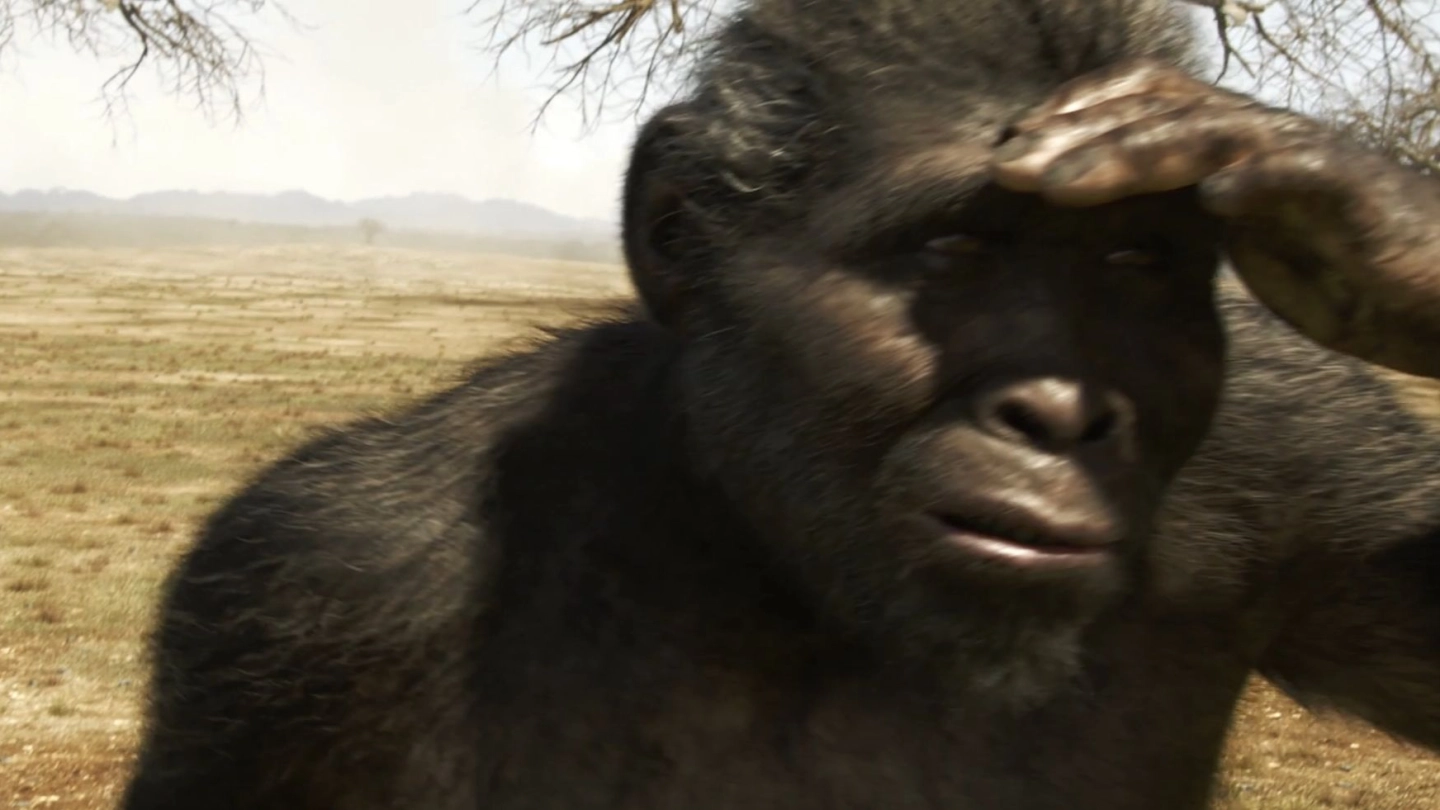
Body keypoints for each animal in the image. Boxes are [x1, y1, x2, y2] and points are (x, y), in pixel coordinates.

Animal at [119, 1, 1440, 808]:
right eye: (952, 247)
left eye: (1135, 265)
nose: (1062, 410)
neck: (781, 565)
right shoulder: (314, 588)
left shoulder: (1299, 446)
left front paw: (1352, 209)